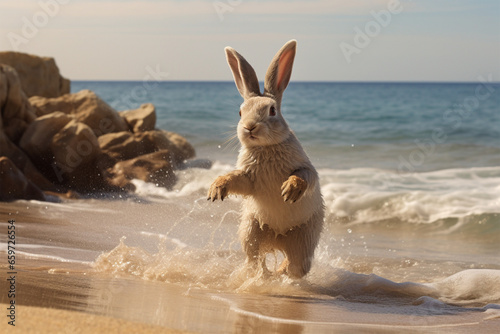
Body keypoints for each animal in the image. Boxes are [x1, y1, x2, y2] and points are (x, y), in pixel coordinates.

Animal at [207, 39, 324, 280]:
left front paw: (289, 190)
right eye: (240, 112)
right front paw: (217, 188)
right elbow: (236, 179)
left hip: (304, 238)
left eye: (272, 110)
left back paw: (278, 274)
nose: (250, 127)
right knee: (255, 259)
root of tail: (278, 238)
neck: (265, 147)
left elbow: (304, 177)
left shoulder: (305, 168)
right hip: (251, 230)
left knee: (294, 266)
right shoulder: (248, 177)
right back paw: (261, 276)